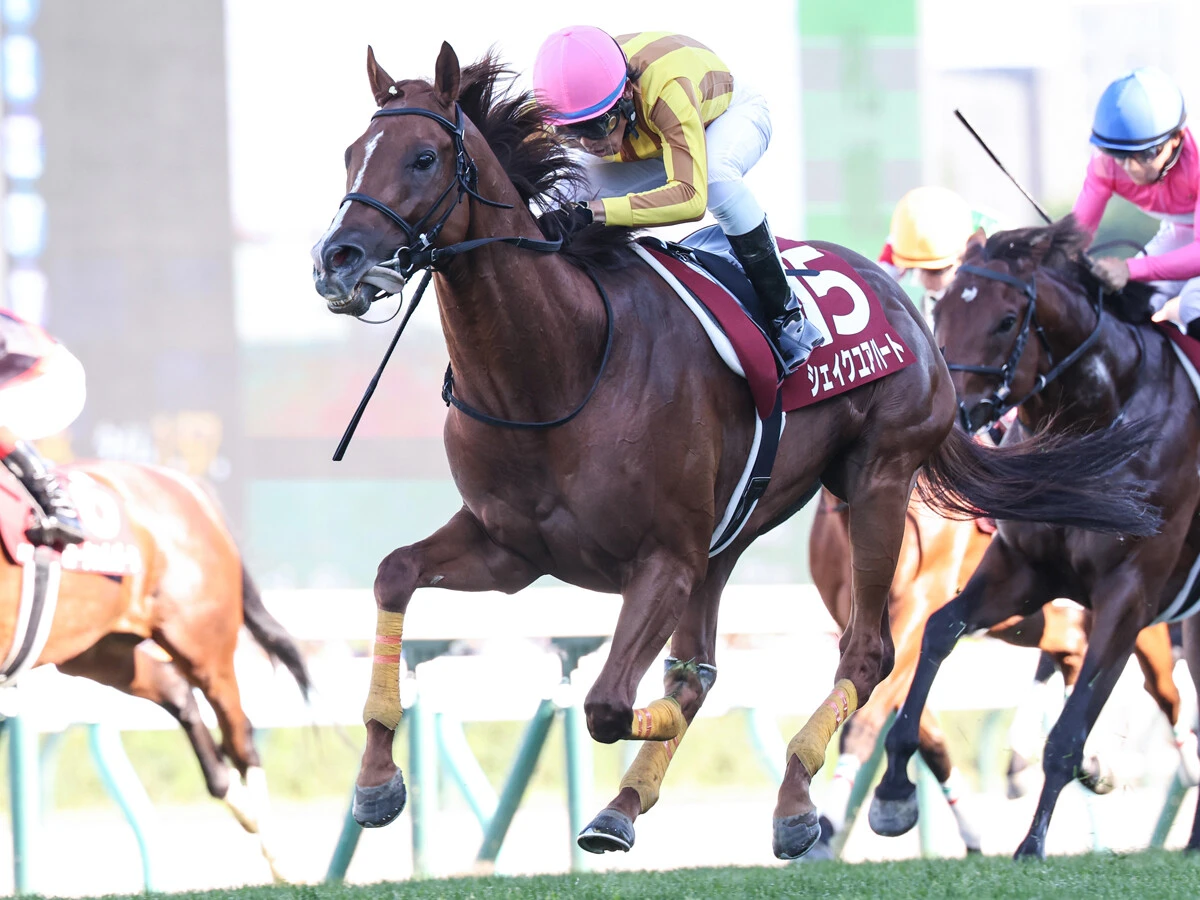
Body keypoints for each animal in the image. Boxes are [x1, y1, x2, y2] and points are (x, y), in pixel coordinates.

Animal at [0, 460, 310, 880]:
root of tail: (181, 484)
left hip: (201, 642)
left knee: (240, 736)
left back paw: (278, 858)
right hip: (97, 648)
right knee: (177, 692)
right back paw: (236, 799)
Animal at [810, 488, 1183, 857]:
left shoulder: (918, 604)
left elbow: (863, 721)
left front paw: (827, 826)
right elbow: (928, 736)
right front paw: (947, 821)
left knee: (1162, 687)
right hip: (1025, 610)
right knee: (1073, 646)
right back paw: (1090, 762)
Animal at [869, 216, 1200, 859]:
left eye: (1004, 321)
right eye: (942, 308)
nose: (946, 412)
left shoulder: (1129, 593)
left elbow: (1068, 731)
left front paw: (1033, 840)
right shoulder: (1024, 568)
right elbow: (941, 629)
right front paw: (893, 788)